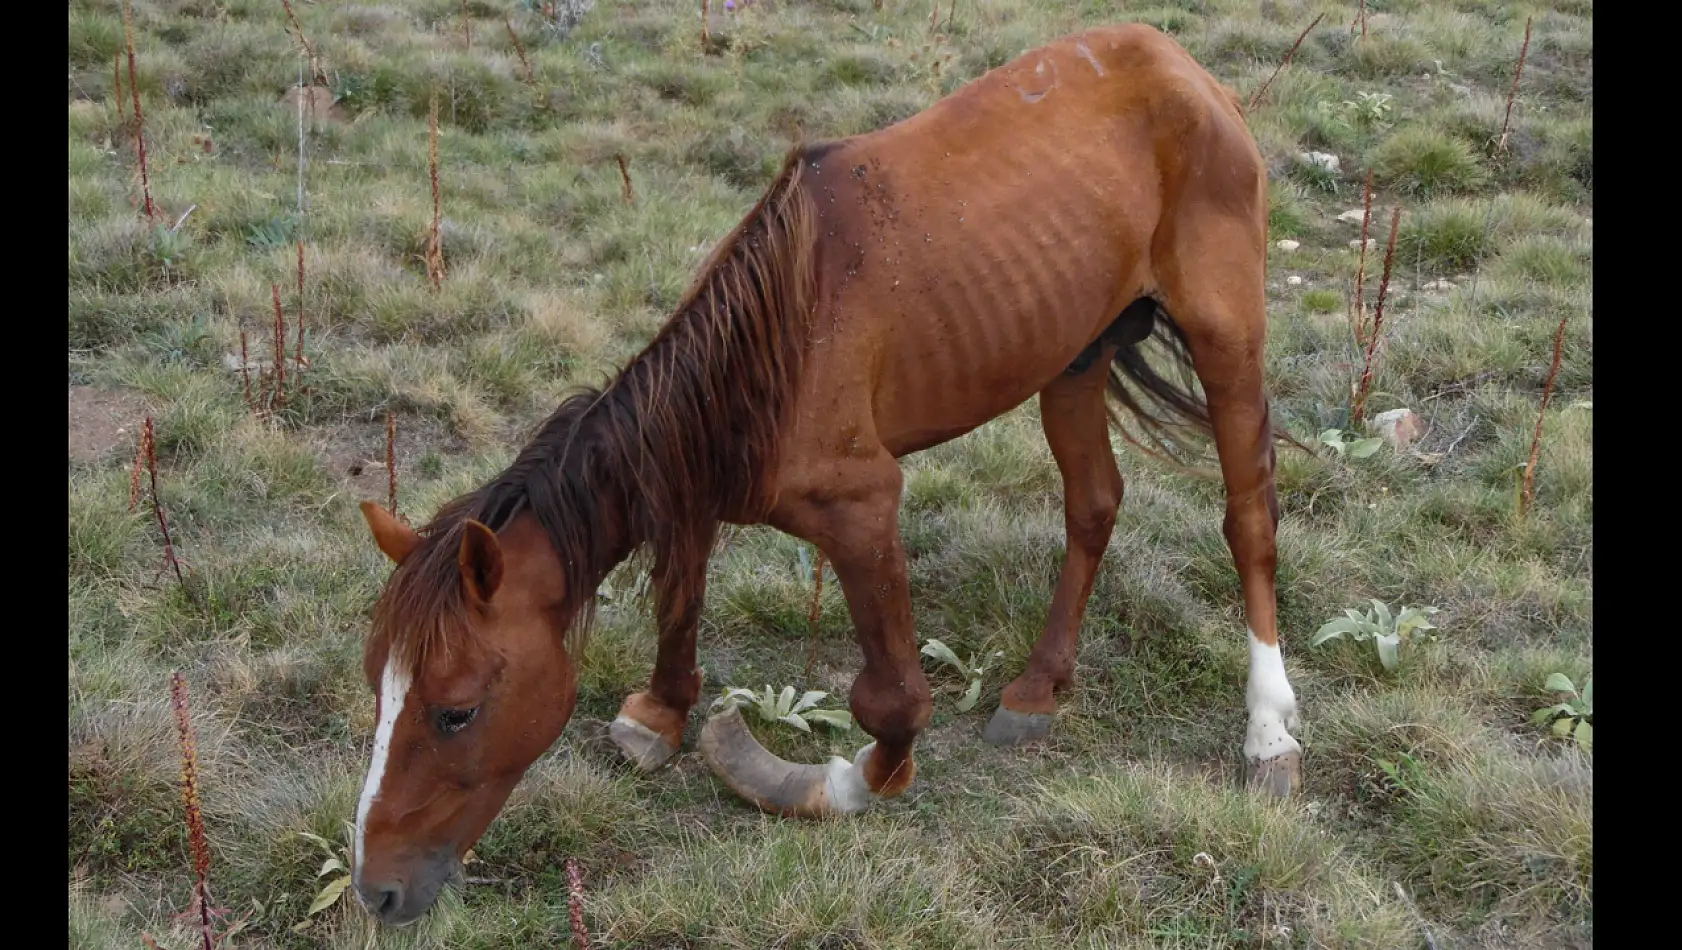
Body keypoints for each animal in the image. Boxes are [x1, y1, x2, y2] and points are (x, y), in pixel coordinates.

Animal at [348, 24, 1305, 928]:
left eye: (456, 710)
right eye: (377, 689)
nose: (376, 891)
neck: (769, 353)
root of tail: (1184, 67)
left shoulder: (862, 508)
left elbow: (892, 703)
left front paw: (831, 782)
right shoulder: (693, 484)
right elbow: (678, 599)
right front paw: (661, 712)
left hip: (1226, 337)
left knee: (1248, 519)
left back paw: (1268, 731)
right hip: (1074, 355)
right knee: (1094, 506)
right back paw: (1040, 687)